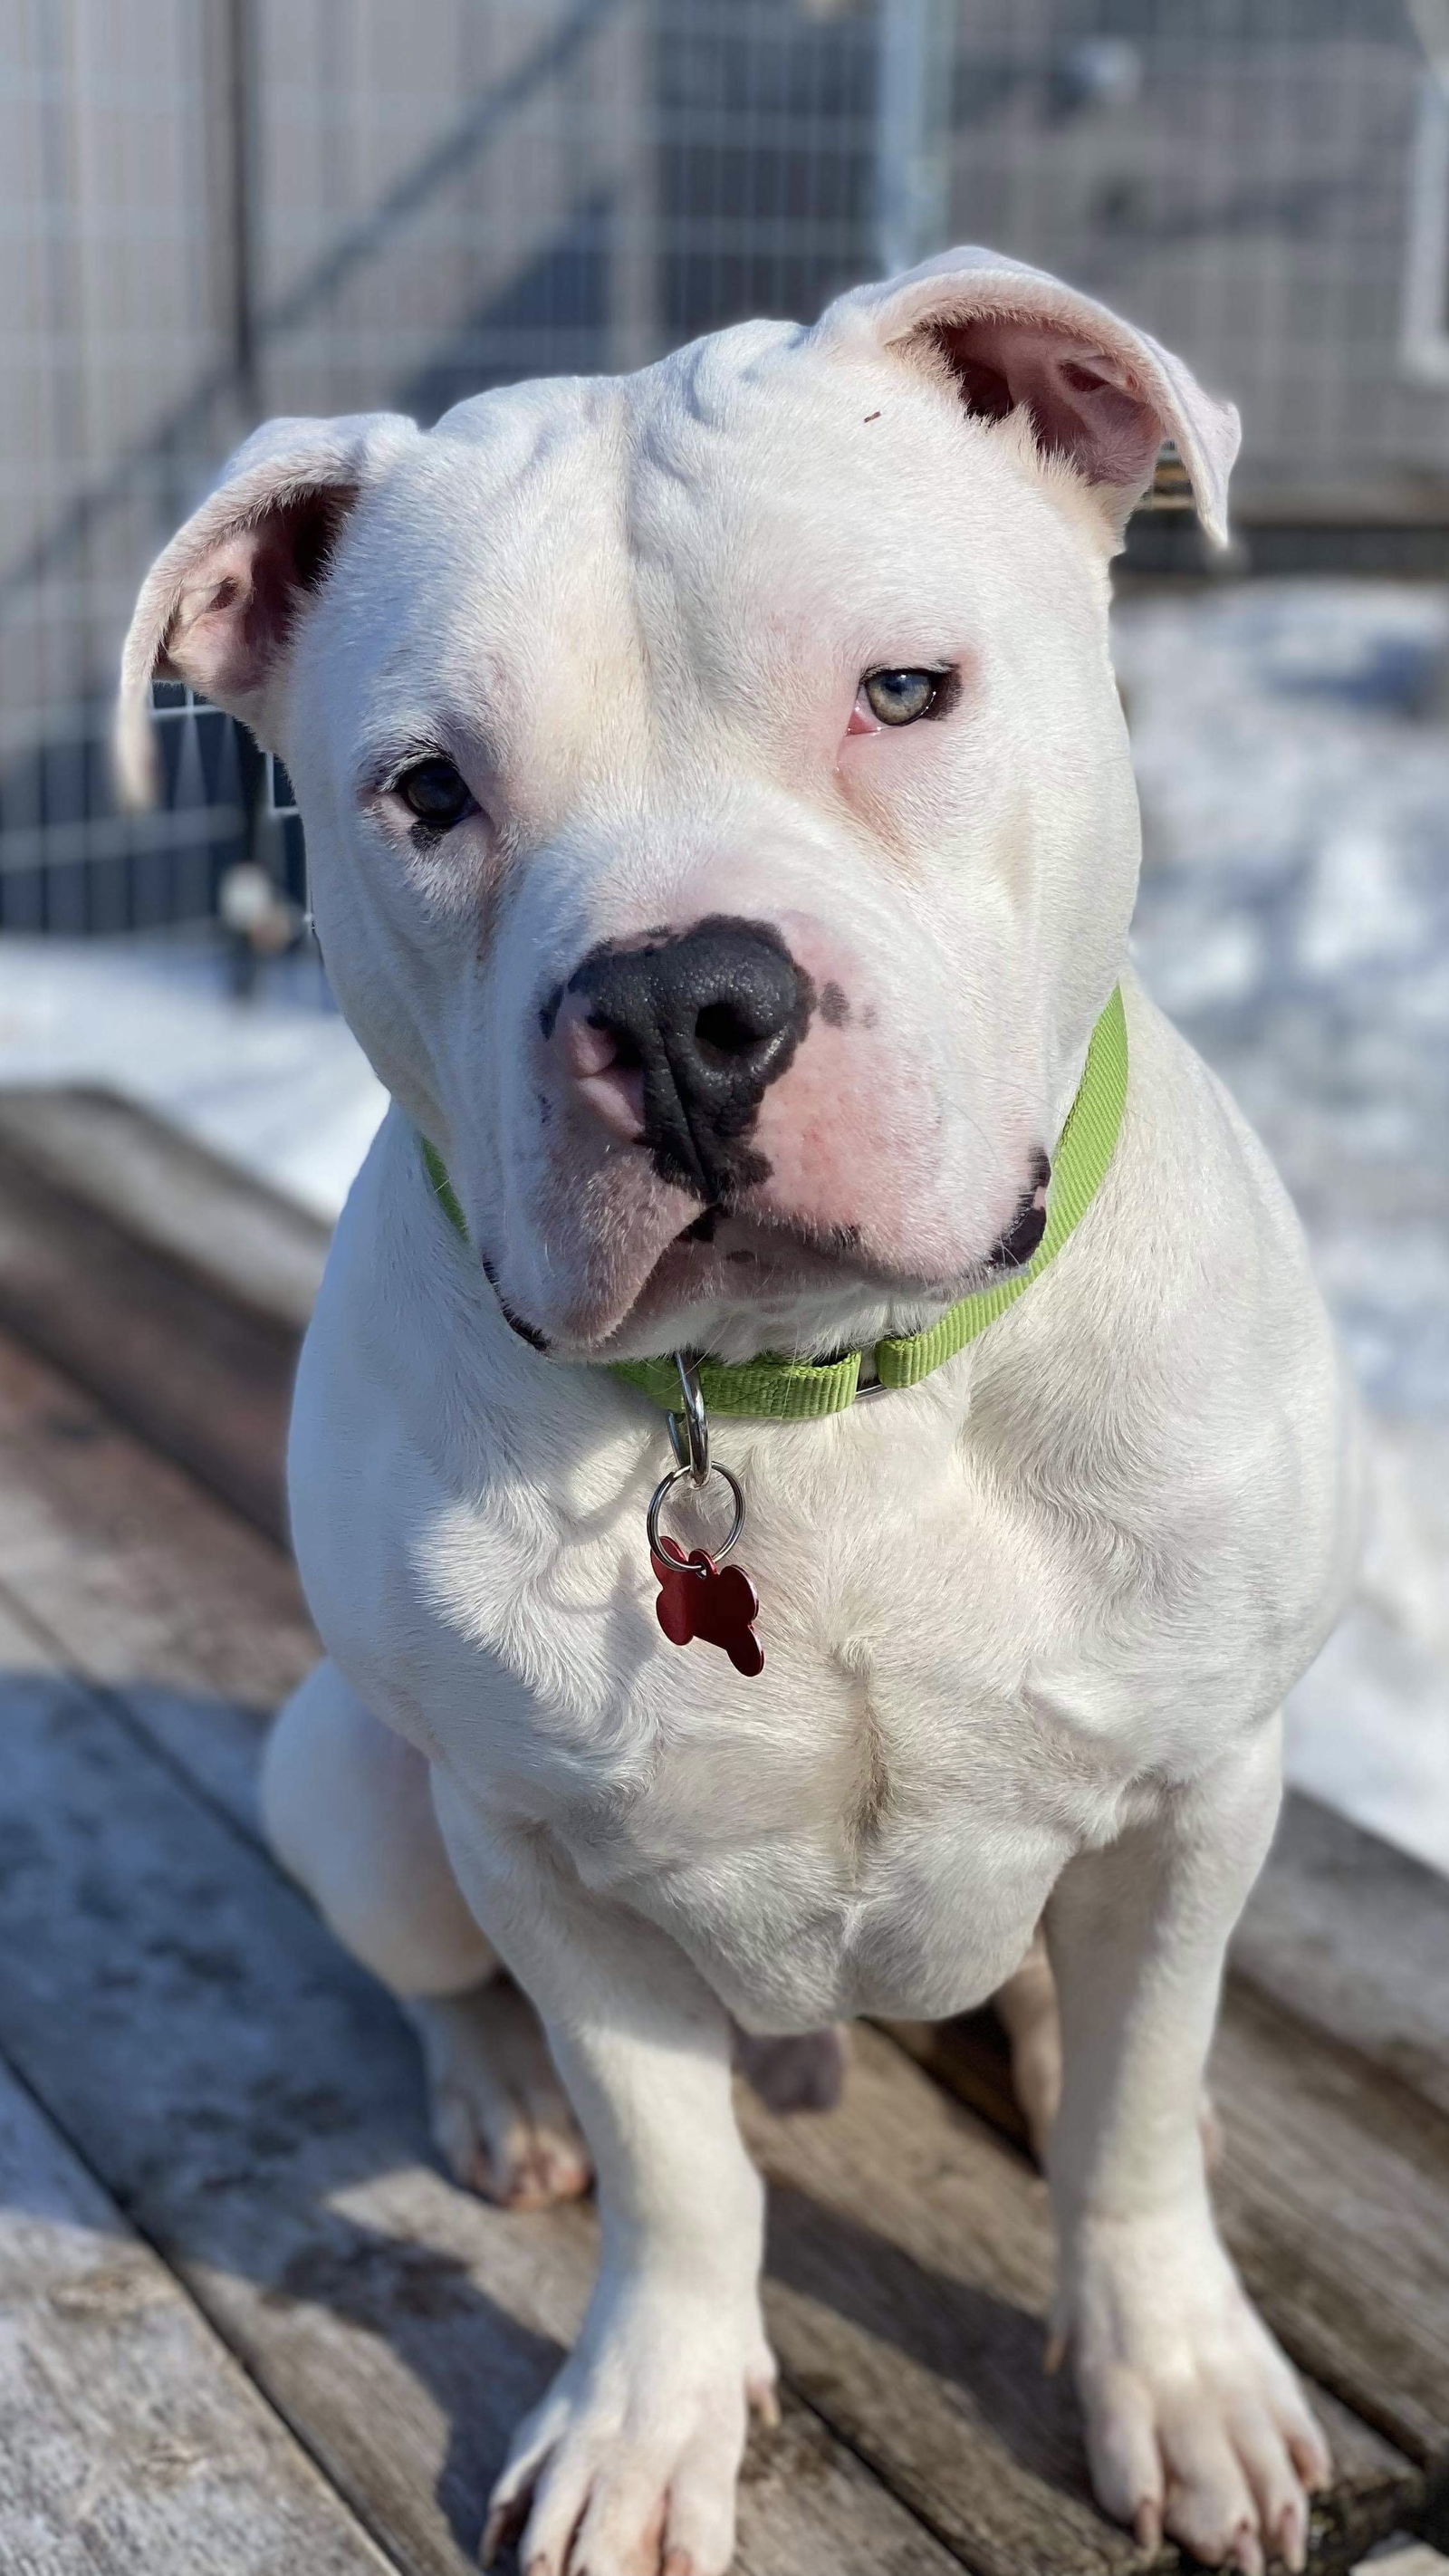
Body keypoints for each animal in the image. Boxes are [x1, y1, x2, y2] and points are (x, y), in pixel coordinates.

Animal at [121, 245, 1358, 2576]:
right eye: (423, 790)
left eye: (901, 689)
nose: (675, 1003)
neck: (807, 1395)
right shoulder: (534, 1847)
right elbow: (675, 2167)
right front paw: (648, 2415)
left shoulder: (1198, 1788)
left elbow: (1141, 2119)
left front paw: (1169, 2377)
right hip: (359, 1788)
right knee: (433, 1973)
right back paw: (497, 2100)